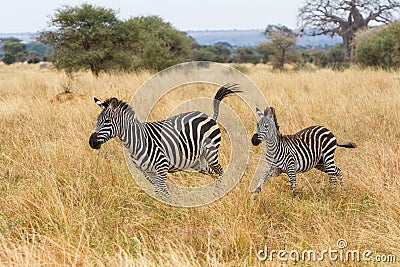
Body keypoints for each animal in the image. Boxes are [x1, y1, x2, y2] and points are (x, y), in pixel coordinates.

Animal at [88, 84, 241, 197]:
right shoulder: (147, 173)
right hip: (197, 161)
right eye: (97, 120)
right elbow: (157, 192)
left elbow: (164, 193)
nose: (91, 142)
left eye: (107, 121)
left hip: (211, 152)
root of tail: (210, 117)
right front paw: (155, 209)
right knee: (213, 173)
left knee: (220, 171)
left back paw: (218, 193)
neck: (136, 141)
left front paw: (169, 208)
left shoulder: (161, 168)